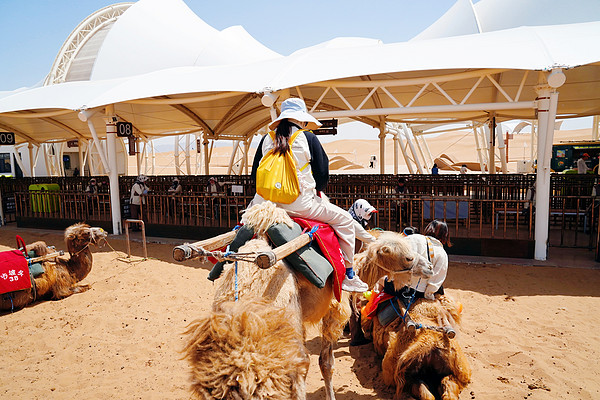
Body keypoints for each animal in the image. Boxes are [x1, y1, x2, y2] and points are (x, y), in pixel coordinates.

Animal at [354, 231, 472, 400]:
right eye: (408, 258)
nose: (429, 267)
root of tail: (429, 344)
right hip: (453, 373)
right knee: (441, 390)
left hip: (400, 374)